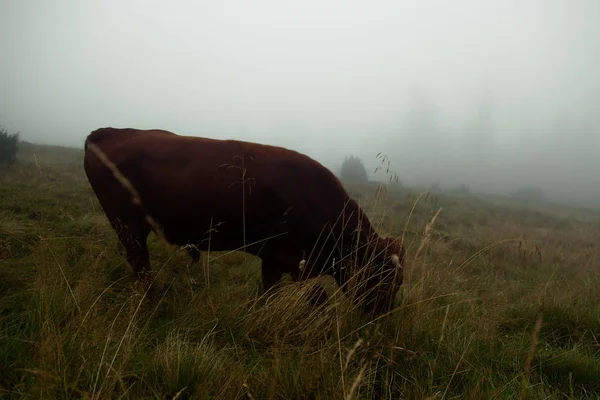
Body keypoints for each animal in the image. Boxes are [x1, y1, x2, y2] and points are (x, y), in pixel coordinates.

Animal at [82, 128, 406, 316]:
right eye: (383, 277)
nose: (381, 317)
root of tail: (107, 132)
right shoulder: (280, 258)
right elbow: (300, 297)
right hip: (128, 225)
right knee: (141, 263)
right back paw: (154, 302)